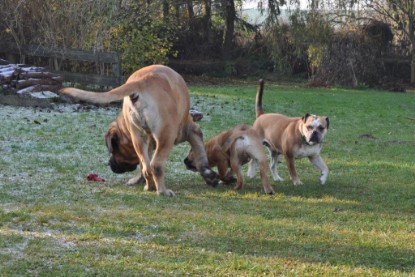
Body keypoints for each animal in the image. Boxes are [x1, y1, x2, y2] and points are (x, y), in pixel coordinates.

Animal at [61, 64, 221, 195]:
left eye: (115, 150)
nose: (110, 164)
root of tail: (140, 82)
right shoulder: (191, 130)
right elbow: (200, 154)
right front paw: (209, 175)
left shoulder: (147, 142)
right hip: (166, 136)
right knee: (156, 165)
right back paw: (162, 191)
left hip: (139, 137)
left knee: (146, 167)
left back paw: (149, 186)